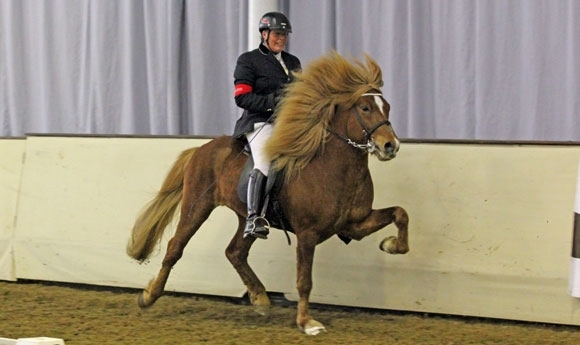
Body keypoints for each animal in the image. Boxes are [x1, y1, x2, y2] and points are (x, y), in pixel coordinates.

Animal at [125, 51, 408, 334]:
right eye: (365, 108)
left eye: (387, 107)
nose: (390, 146)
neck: (333, 168)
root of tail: (201, 149)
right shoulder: (308, 233)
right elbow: (304, 280)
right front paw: (306, 322)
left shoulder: (353, 225)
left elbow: (400, 213)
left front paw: (391, 244)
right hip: (196, 207)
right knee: (176, 247)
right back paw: (149, 295)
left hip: (246, 218)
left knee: (235, 252)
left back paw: (260, 297)